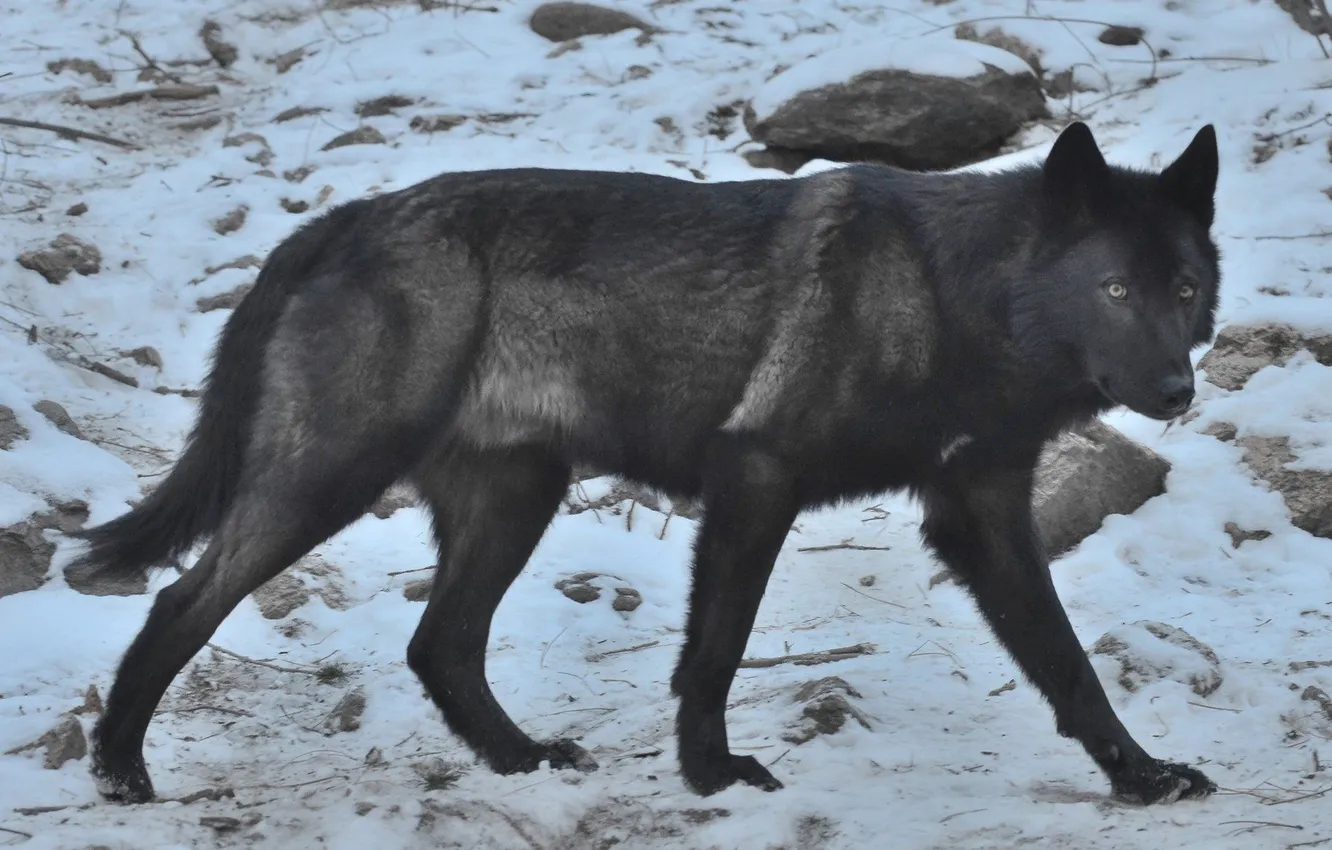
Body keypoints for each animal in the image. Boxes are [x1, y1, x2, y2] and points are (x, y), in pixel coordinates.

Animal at [73, 120, 1221, 807]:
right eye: (1116, 290)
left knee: (441, 644)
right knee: (183, 600)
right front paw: (713, 775)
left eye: (1186, 289)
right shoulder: (755, 478)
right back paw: (120, 769)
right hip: (334, 476)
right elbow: (715, 649)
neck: (959, 297)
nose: (1177, 391)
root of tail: (342, 219)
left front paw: (1142, 775)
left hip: (516, 497)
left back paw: (521, 761)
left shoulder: (981, 513)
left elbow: (1068, 662)